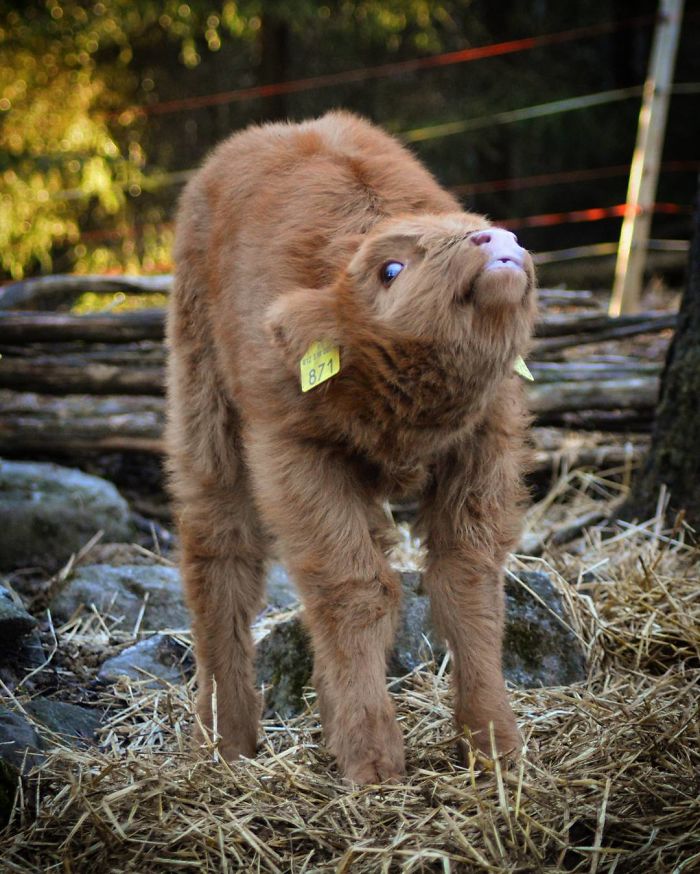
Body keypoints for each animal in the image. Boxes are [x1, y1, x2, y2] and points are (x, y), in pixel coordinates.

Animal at [167, 110, 540, 784]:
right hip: (203, 406)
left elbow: (467, 585)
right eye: (390, 269)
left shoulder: (484, 448)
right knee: (219, 554)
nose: (496, 238)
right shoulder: (294, 453)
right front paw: (373, 761)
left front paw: (496, 749)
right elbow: (354, 588)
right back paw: (226, 741)